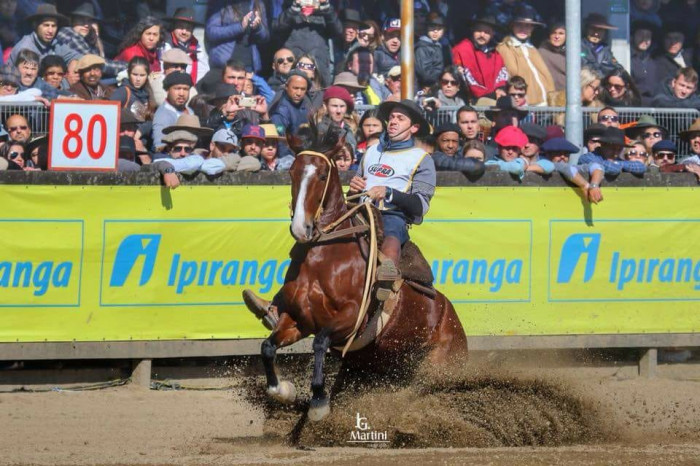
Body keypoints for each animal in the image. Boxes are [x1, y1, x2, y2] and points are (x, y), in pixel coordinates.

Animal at [249, 125, 468, 420]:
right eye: (292, 172)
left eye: (321, 175)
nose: (300, 228)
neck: (326, 257)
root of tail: (453, 321)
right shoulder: (298, 319)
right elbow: (268, 347)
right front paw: (283, 390)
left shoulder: (351, 318)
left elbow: (320, 343)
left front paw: (319, 401)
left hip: (437, 369)